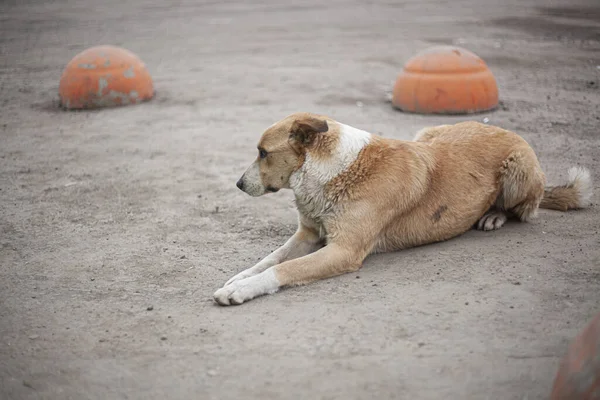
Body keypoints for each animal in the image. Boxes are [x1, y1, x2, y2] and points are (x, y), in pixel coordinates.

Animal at [213, 112, 592, 306]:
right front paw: (239, 278)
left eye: (263, 153)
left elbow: (284, 269)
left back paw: (494, 214)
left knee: (526, 209)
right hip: (426, 133)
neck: (333, 170)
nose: (238, 185)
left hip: (519, 171)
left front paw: (239, 291)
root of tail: (499, 127)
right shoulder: (308, 234)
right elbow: (271, 259)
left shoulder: (343, 250)